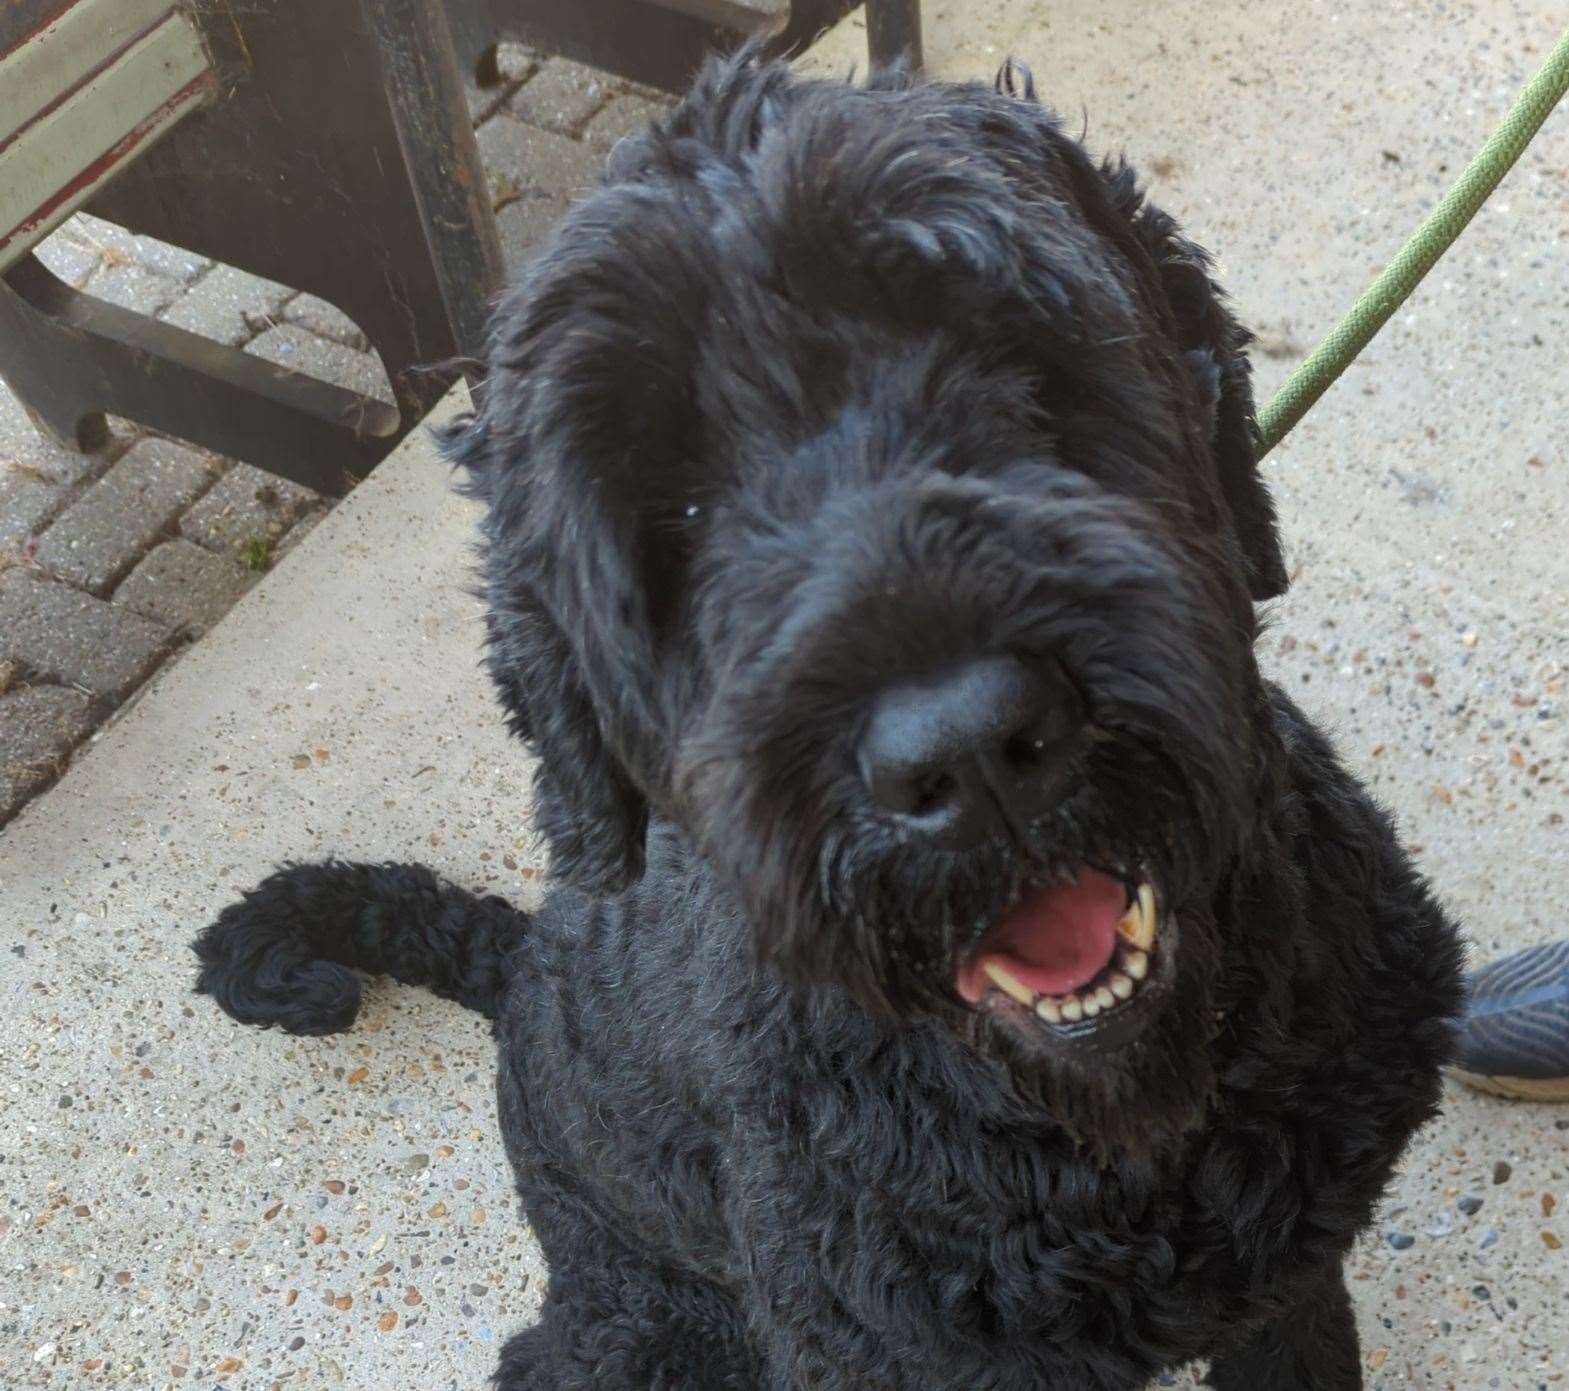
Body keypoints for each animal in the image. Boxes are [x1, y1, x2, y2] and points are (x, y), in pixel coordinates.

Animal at [192, 54, 1456, 1391]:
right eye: (674, 508)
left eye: (1004, 349)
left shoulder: (1291, 1278)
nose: (967, 748)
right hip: (643, 1323)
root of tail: (525, 955)